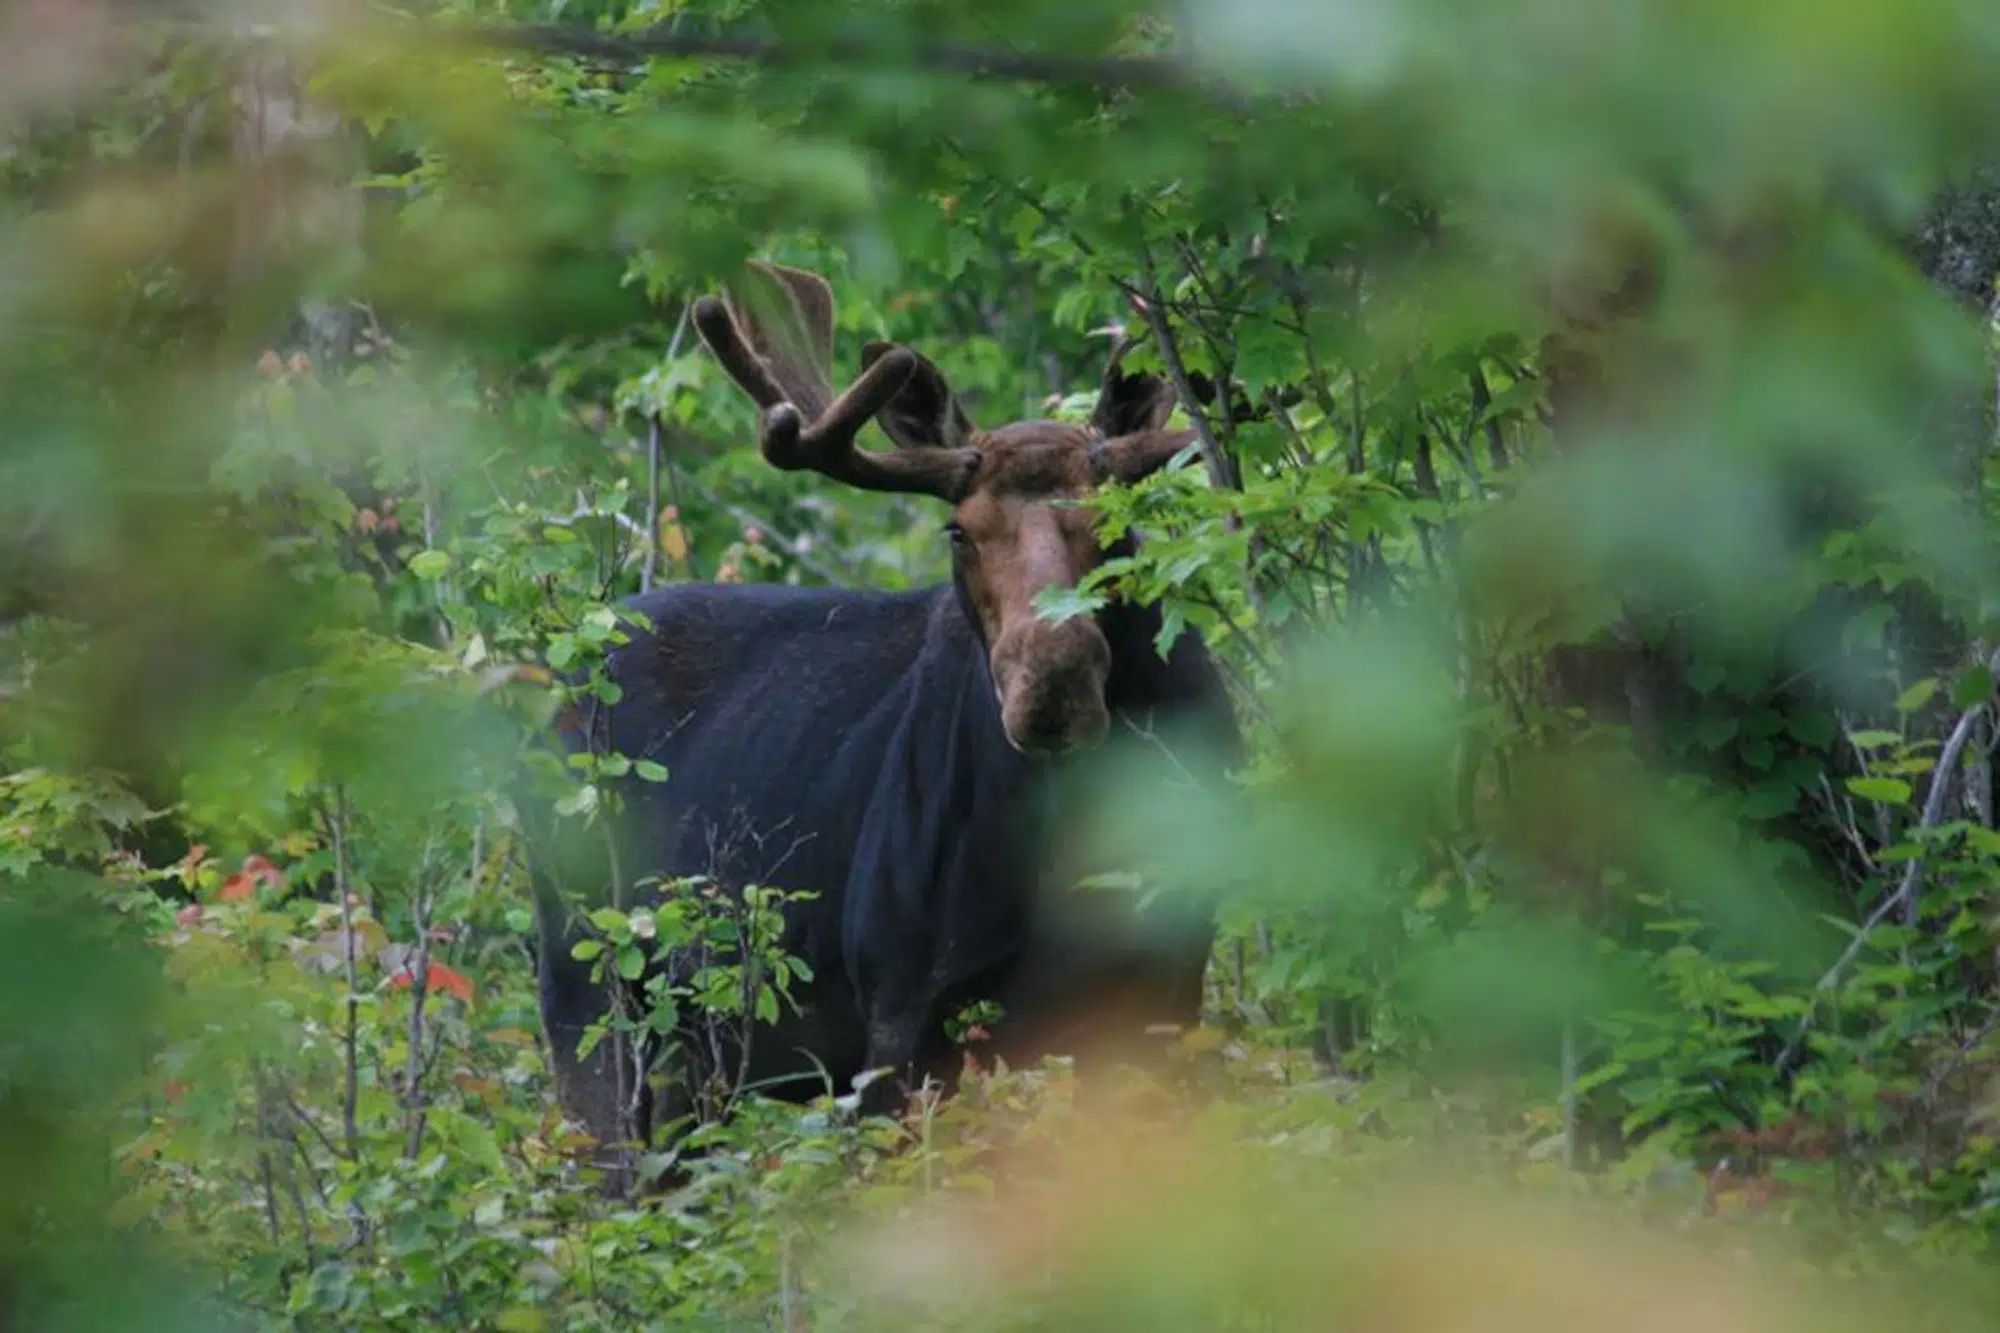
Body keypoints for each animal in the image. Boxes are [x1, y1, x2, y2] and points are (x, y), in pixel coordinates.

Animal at [523, 261, 1241, 1184]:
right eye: (958, 530)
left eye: (1116, 521)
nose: (1053, 679)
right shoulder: (899, 999)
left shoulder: (1169, 984)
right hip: (588, 987)